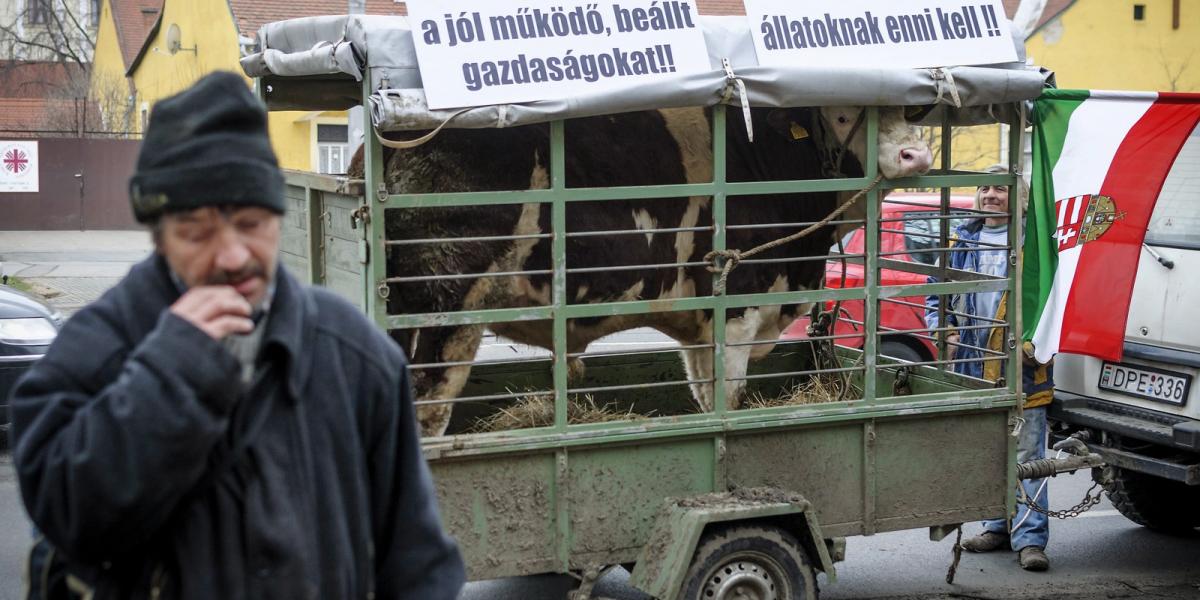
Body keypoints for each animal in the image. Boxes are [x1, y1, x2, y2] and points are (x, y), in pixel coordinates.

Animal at [350, 106, 931, 436]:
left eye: (911, 114)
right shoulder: (738, 307)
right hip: (438, 312)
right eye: (843, 116)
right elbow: (730, 399)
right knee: (427, 410)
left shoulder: (701, 326)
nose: (916, 155)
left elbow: (704, 396)